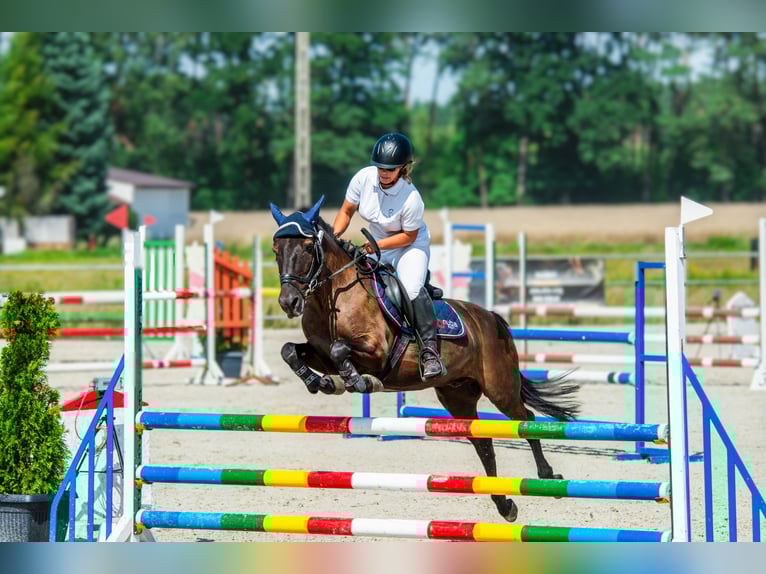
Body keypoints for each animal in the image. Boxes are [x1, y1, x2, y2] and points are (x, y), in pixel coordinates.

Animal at [269, 196, 580, 523]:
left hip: (500, 387)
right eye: (276, 250)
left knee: (526, 420)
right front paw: (320, 382)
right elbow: (291, 350)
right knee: (482, 442)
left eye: (307, 247)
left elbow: (342, 350)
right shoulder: (321, 352)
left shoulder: (376, 352)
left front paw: (357, 381)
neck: (333, 296)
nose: (289, 302)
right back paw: (504, 504)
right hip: (458, 396)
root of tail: (491, 318)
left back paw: (548, 477)